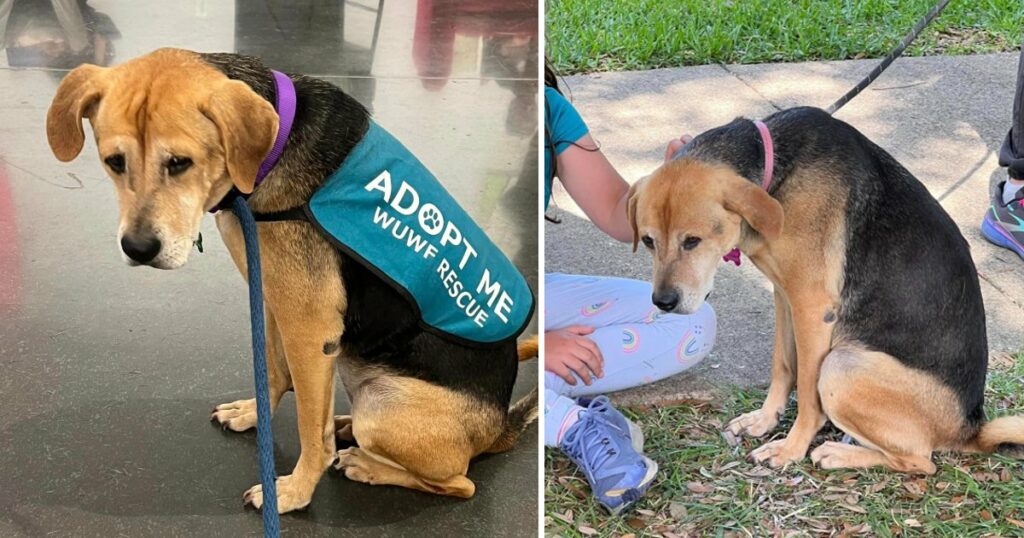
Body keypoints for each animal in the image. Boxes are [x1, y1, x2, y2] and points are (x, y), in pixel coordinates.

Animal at [44, 49, 540, 512]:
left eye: (180, 162)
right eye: (114, 161)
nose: (139, 249)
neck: (272, 152)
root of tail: (499, 428)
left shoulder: (310, 330)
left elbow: (310, 431)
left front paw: (293, 492)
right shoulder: (270, 297)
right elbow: (273, 371)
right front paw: (252, 414)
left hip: (384, 408)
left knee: (460, 484)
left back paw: (367, 466)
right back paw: (345, 428)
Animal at [626, 107, 1024, 471]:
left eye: (692, 241)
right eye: (647, 241)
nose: (663, 302)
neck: (775, 172)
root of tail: (969, 429)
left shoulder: (812, 307)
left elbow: (806, 389)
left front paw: (791, 448)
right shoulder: (785, 296)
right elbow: (782, 365)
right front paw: (765, 420)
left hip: (842, 364)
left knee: (921, 462)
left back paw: (838, 454)